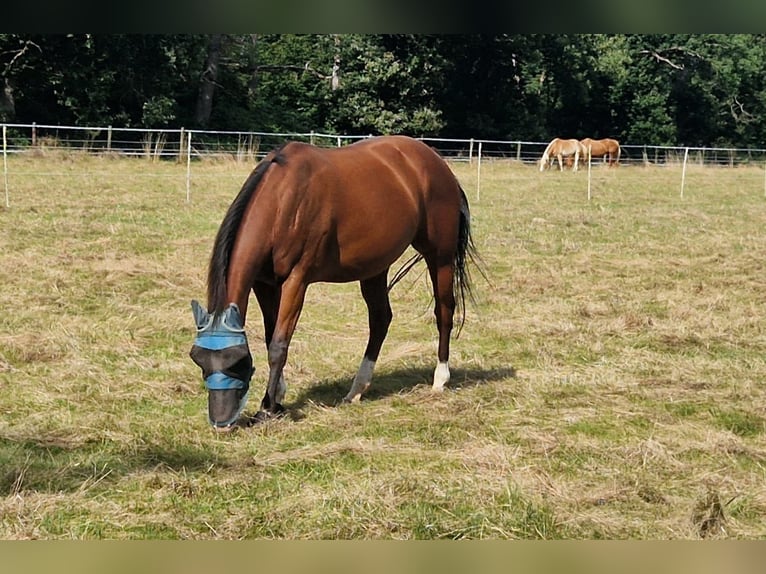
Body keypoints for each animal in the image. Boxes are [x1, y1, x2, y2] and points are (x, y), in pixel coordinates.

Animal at [190, 136, 480, 432]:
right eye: (198, 359)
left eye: (237, 361)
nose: (221, 423)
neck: (282, 200)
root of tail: (437, 162)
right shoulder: (264, 284)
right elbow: (271, 336)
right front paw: (278, 397)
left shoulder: (296, 281)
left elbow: (279, 345)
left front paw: (267, 408)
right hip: (375, 266)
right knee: (380, 319)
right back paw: (357, 389)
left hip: (439, 256)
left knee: (444, 311)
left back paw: (440, 378)